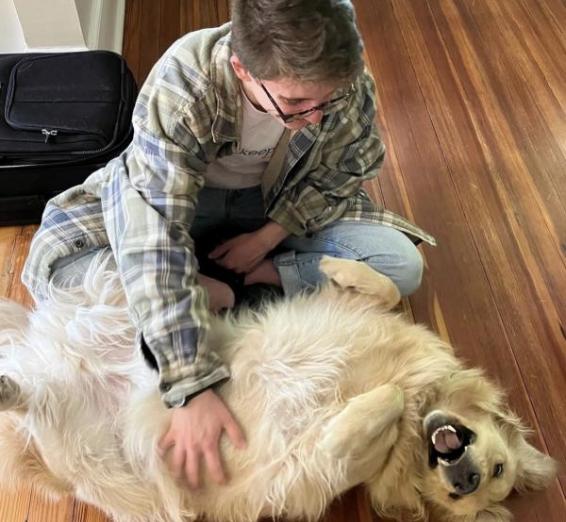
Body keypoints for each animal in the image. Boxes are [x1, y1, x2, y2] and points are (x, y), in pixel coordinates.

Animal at [0, 251, 557, 522]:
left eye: (487, 483)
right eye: (498, 467)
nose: (465, 479)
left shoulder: (332, 460)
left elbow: (386, 404)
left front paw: (392, 402)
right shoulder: (359, 307)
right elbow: (383, 287)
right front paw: (329, 263)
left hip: (94, 457)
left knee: (36, 413)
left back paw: (10, 392)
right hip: (107, 301)